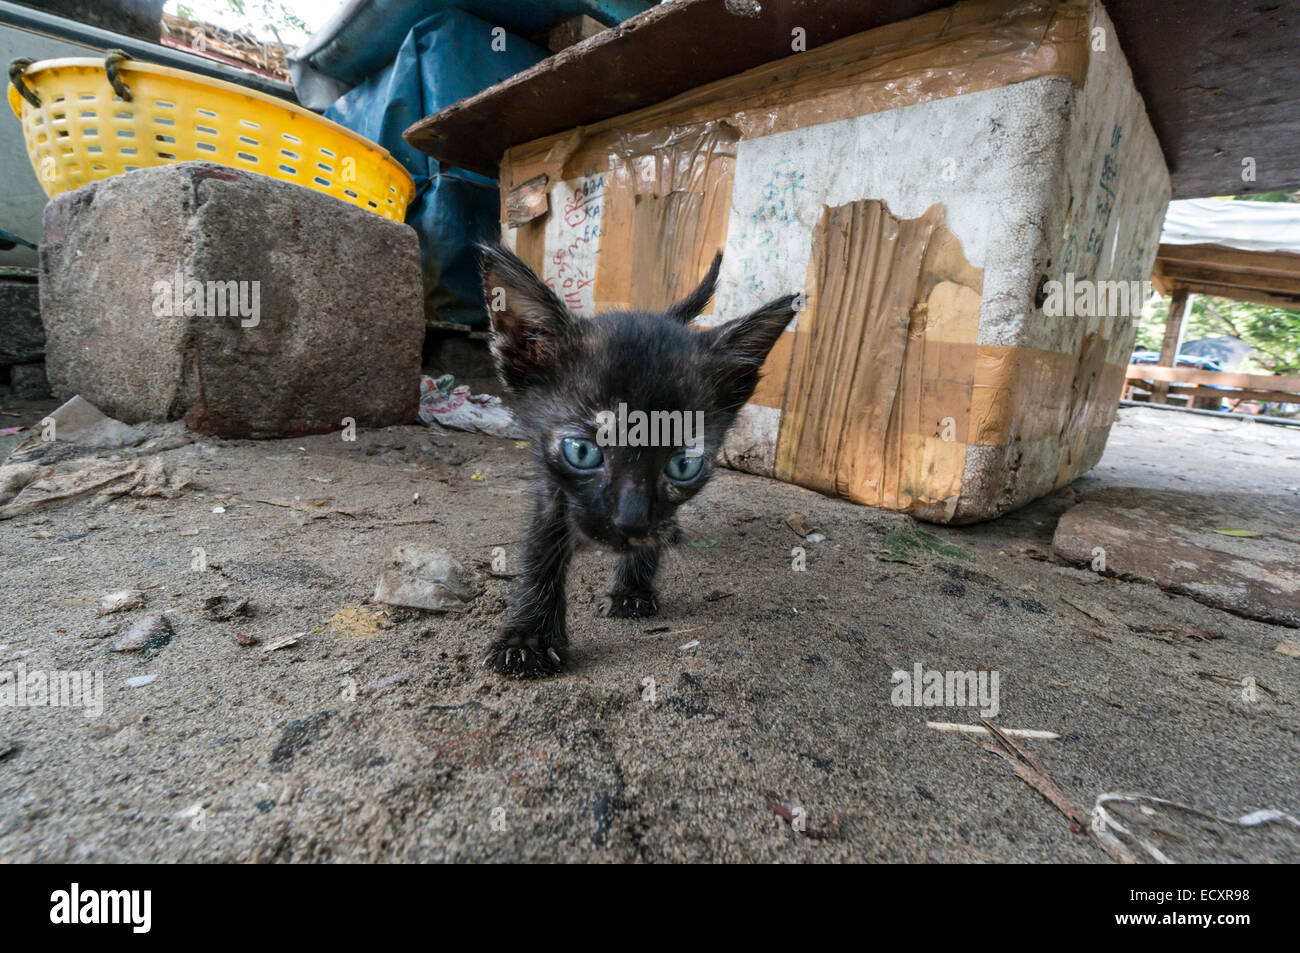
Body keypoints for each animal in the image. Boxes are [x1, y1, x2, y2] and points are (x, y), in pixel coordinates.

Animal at [483, 245, 795, 676]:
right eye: (582, 452)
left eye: (683, 465)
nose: (629, 523)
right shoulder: (552, 484)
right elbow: (543, 543)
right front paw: (528, 637)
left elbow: (655, 530)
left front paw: (632, 587)